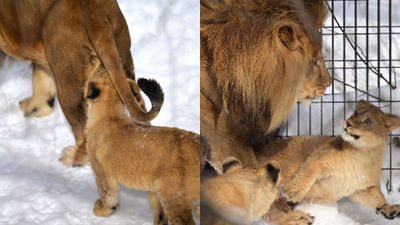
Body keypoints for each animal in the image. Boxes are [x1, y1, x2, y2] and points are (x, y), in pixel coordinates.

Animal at [0, 0, 156, 167]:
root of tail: (97, 18)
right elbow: (41, 80)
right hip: (123, 61)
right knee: (140, 106)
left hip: (68, 84)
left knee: (82, 132)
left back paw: (72, 159)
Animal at [86, 71, 202, 224]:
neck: (112, 115)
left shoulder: (102, 173)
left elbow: (107, 195)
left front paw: (101, 211)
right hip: (160, 192)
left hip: (173, 198)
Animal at [258, 100, 400, 223]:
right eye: (354, 114)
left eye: (367, 120)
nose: (348, 123)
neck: (362, 154)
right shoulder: (319, 158)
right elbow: (306, 174)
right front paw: (291, 192)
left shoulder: (361, 188)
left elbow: (377, 198)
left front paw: (390, 209)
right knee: (269, 212)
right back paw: (299, 218)